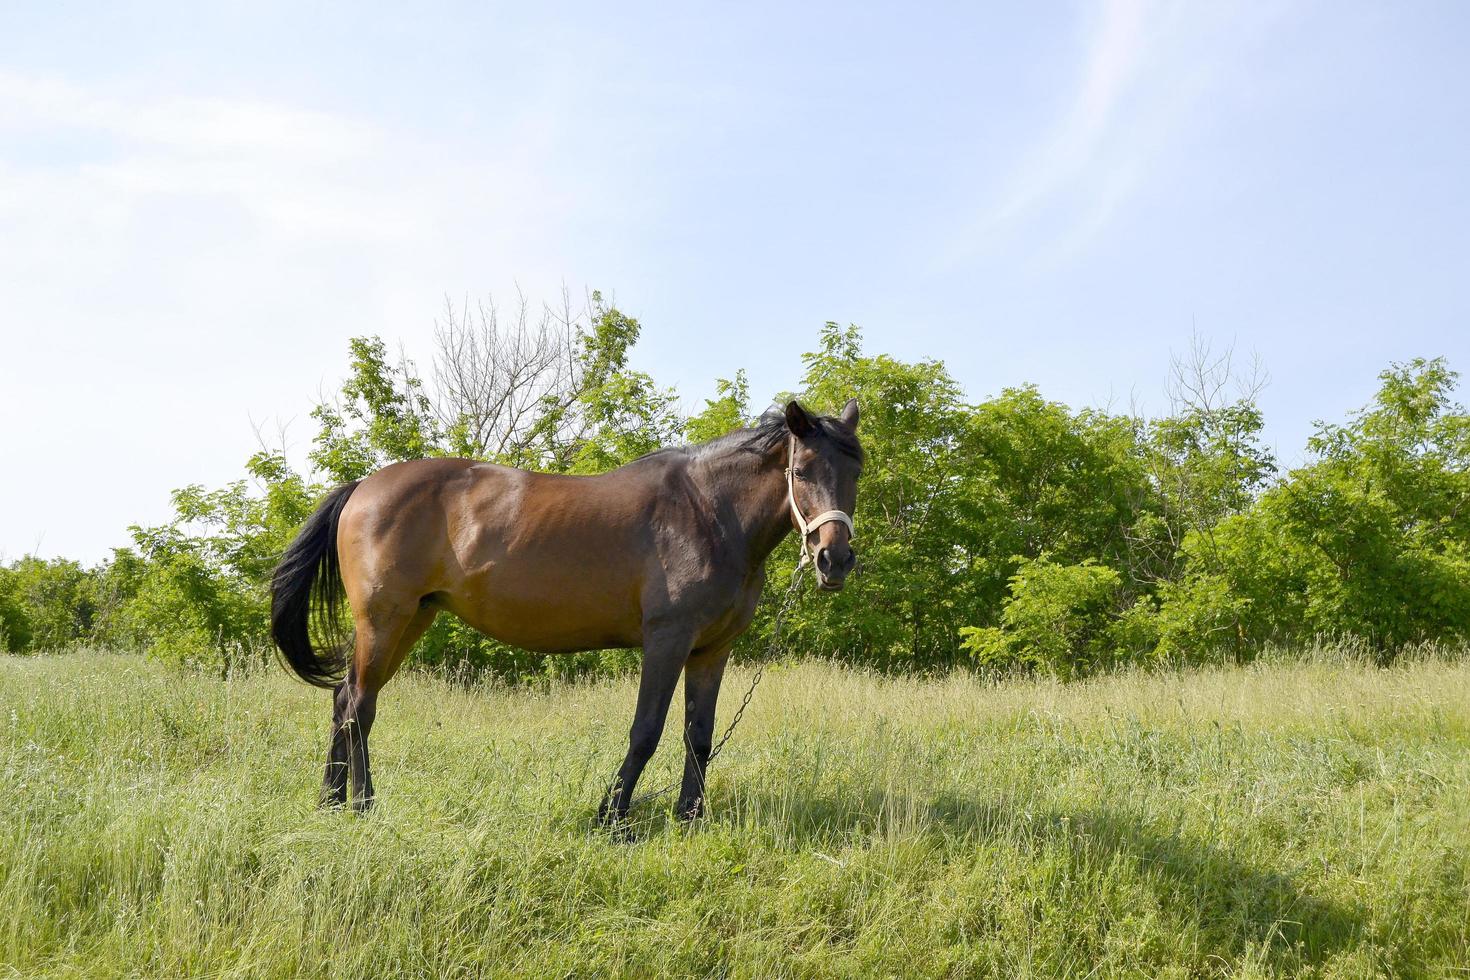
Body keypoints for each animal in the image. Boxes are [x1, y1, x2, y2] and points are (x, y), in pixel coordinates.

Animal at [273, 399, 858, 822]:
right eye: (802, 471)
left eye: (855, 470)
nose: (834, 559)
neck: (709, 512)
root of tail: (363, 487)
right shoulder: (666, 640)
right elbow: (646, 729)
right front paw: (612, 818)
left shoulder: (712, 650)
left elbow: (699, 734)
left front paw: (690, 817)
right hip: (384, 621)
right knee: (358, 707)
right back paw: (363, 807)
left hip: (412, 619)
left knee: (347, 700)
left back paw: (332, 803)